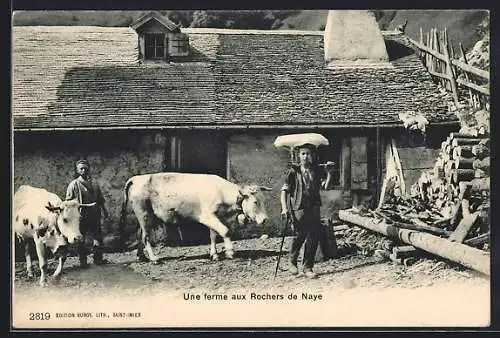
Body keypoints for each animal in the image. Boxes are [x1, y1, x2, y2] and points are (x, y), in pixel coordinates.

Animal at [119, 173, 272, 262]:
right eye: (255, 202)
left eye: (264, 200)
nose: (265, 219)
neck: (222, 192)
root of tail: (137, 178)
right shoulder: (207, 216)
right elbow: (225, 231)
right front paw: (230, 252)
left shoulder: (215, 217)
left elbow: (213, 235)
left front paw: (214, 255)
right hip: (143, 213)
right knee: (145, 236)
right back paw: (153, 258)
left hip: (145, 216)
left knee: (139, 234)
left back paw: (141, 256)